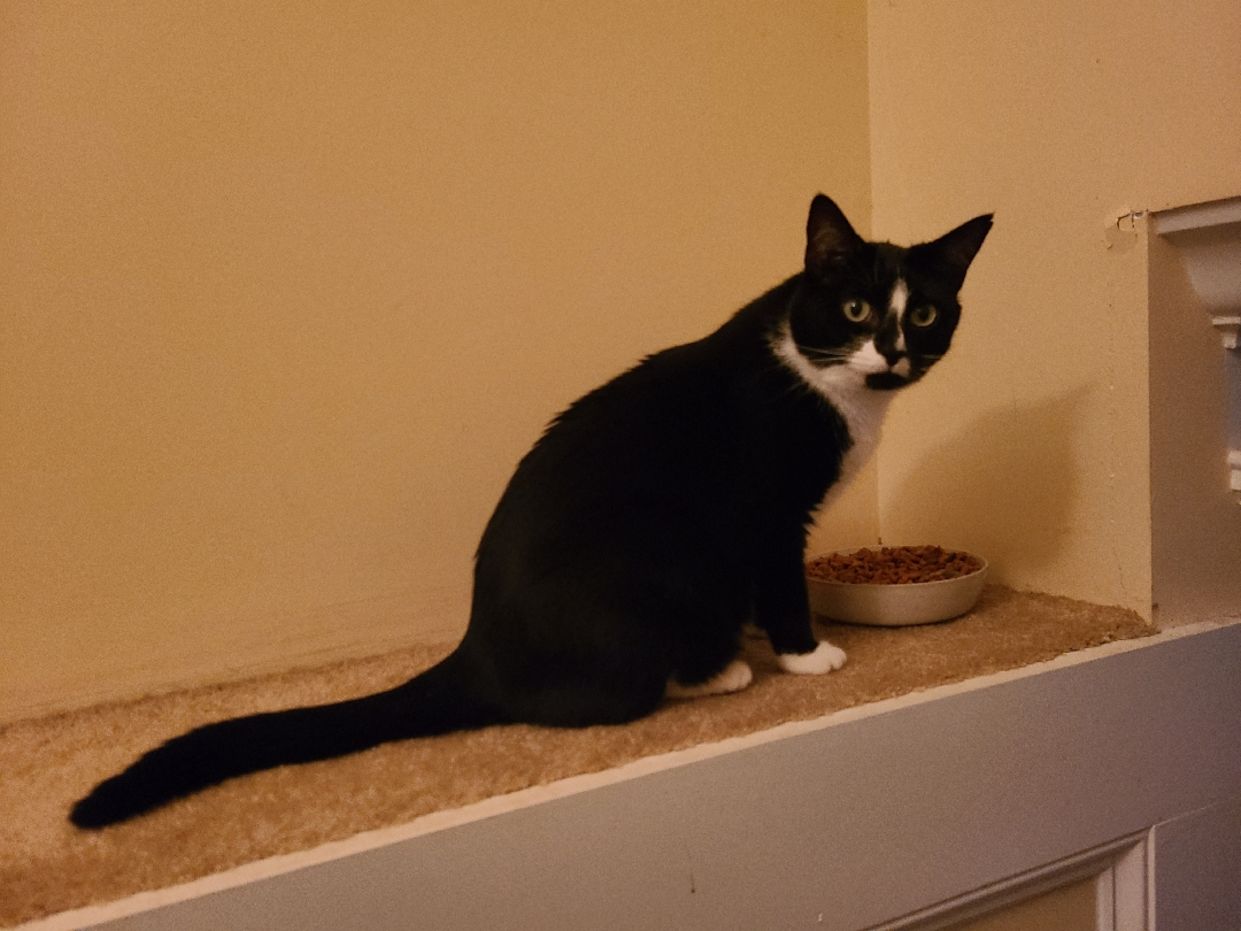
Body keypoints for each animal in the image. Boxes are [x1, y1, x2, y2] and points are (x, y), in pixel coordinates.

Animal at [70, 194, 991, 828]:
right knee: (584, 700)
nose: (893, 351)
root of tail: (477, 646)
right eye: (854, 309)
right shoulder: (769, 516)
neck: (832, 384)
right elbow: (785, 583)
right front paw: (803, 654)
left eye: (923, 311)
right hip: (652, 575)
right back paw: (715, 669)